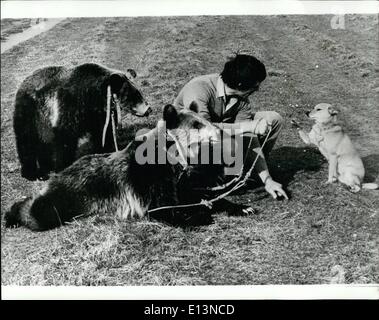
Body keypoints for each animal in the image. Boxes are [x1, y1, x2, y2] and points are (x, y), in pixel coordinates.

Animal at [14, 62, 151, 181]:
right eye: (132, 95)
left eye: (139, 92)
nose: (148, 109)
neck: (92, 98)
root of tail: (23, 83)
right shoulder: (69, 107)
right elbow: (65, 139)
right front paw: (63, 166)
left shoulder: (97, 115)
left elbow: (103, 133)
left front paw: (105, 151)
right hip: (31, 113)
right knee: (26, 142)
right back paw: (32, 173)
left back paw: (45, 167)